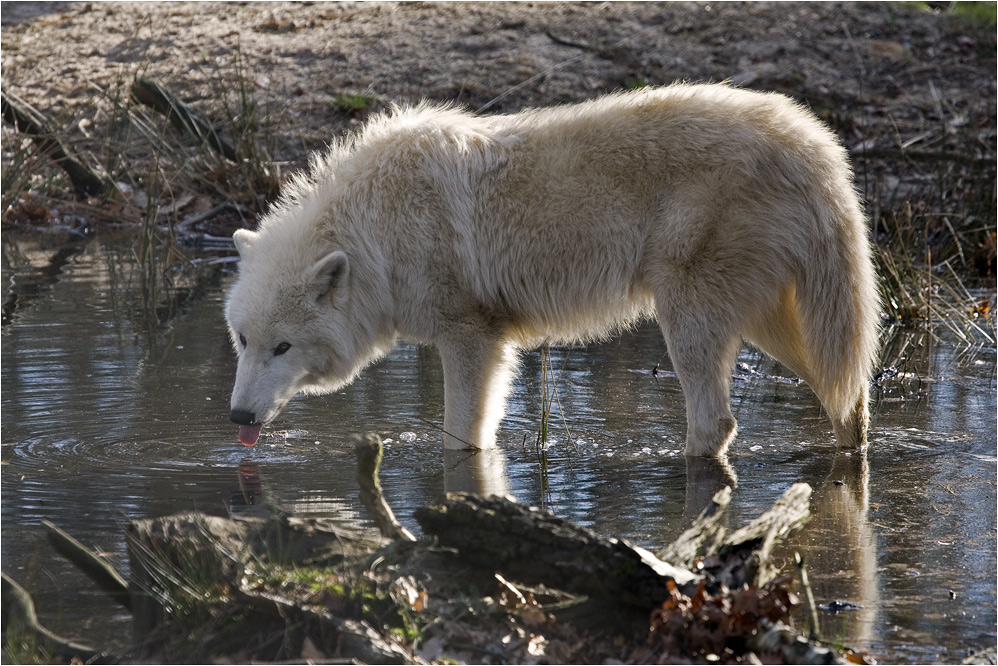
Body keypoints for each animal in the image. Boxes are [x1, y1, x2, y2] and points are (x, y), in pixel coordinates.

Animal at [229, 83, 884, 454]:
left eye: (283, 348)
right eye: (242, 341)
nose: (236, 416)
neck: (376, 231)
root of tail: (811, 141)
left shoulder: (470, 336)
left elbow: (458, 439)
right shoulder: (492, 342)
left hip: (689, 318)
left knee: (716, 425)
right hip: (778, 328)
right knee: (849, 401)